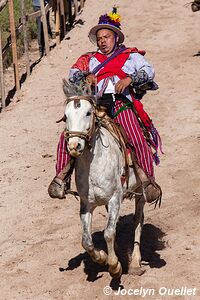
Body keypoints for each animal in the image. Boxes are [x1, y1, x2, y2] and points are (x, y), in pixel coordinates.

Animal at [62, 80, 147, 278]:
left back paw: (135, 263)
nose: (74, 146)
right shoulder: (86, 204)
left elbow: (108, 233)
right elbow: (86, 240)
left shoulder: (115, 198)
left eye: (88, 113)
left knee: (138, 220)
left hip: (140, 191)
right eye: (65, 116)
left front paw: (114, 266)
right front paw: (102, 257)